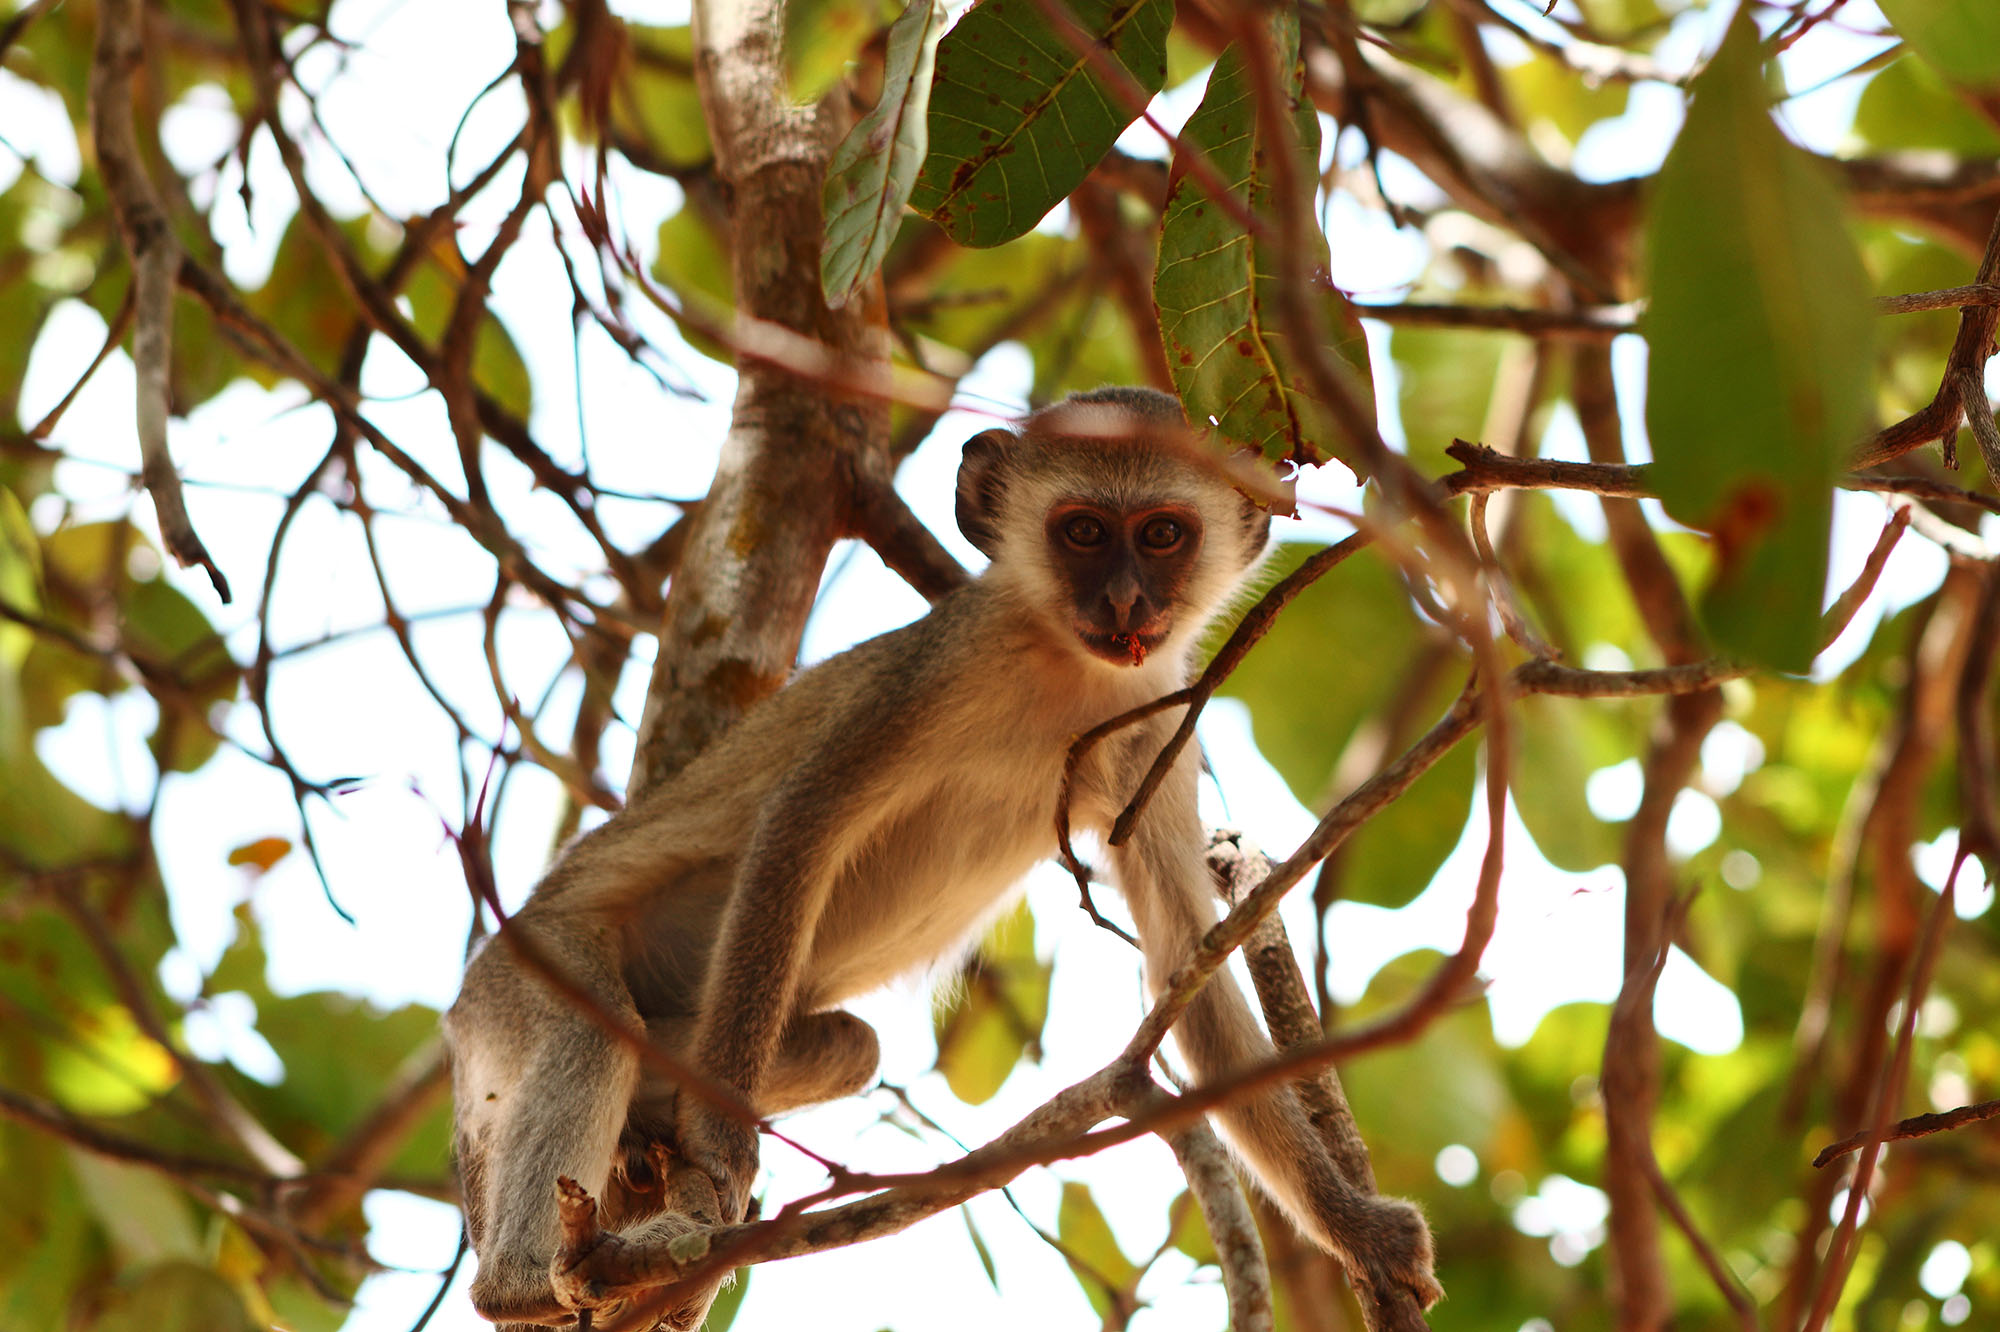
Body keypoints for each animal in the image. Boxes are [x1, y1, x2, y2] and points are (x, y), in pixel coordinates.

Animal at [450, 386, 1440, 1328]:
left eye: (1162, 535)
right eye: (1084, 531)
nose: (1126, 604)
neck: (1063, 668)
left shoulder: (1158, 728)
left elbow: (1182, 969)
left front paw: (1356, 1227)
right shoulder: (939, 669)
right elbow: (800, 825)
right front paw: (720, 1167)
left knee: (851, 1047)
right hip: (523, 968)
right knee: (585, 1030)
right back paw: (528, 1283)